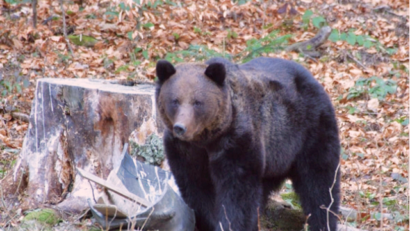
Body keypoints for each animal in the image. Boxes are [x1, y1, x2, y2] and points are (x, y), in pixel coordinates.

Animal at [154, 56, 340, 231]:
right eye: (175, 101)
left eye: (197, 102)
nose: (180, 128)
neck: (207, 140)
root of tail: (311, 76)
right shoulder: (185, 151)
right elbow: (196, 188)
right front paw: (211, 221)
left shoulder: (237, 141)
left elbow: (238, 194)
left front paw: (229, 224)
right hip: (274, 156)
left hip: (308, 130)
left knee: (319, 182)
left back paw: (323, 221)